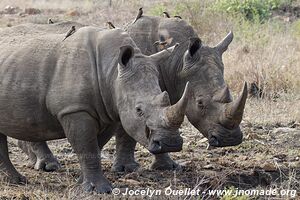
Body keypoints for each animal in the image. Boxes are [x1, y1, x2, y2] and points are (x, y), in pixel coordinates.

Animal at [0, 25, 190, 193]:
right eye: (138, 110)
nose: (171, 143)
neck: (113, 72)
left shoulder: (110, 110)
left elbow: (95, 146)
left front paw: (81, 182)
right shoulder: (75, 109)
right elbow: (88, 148)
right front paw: (100, 190)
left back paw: (14, 180)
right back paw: (17, 180)